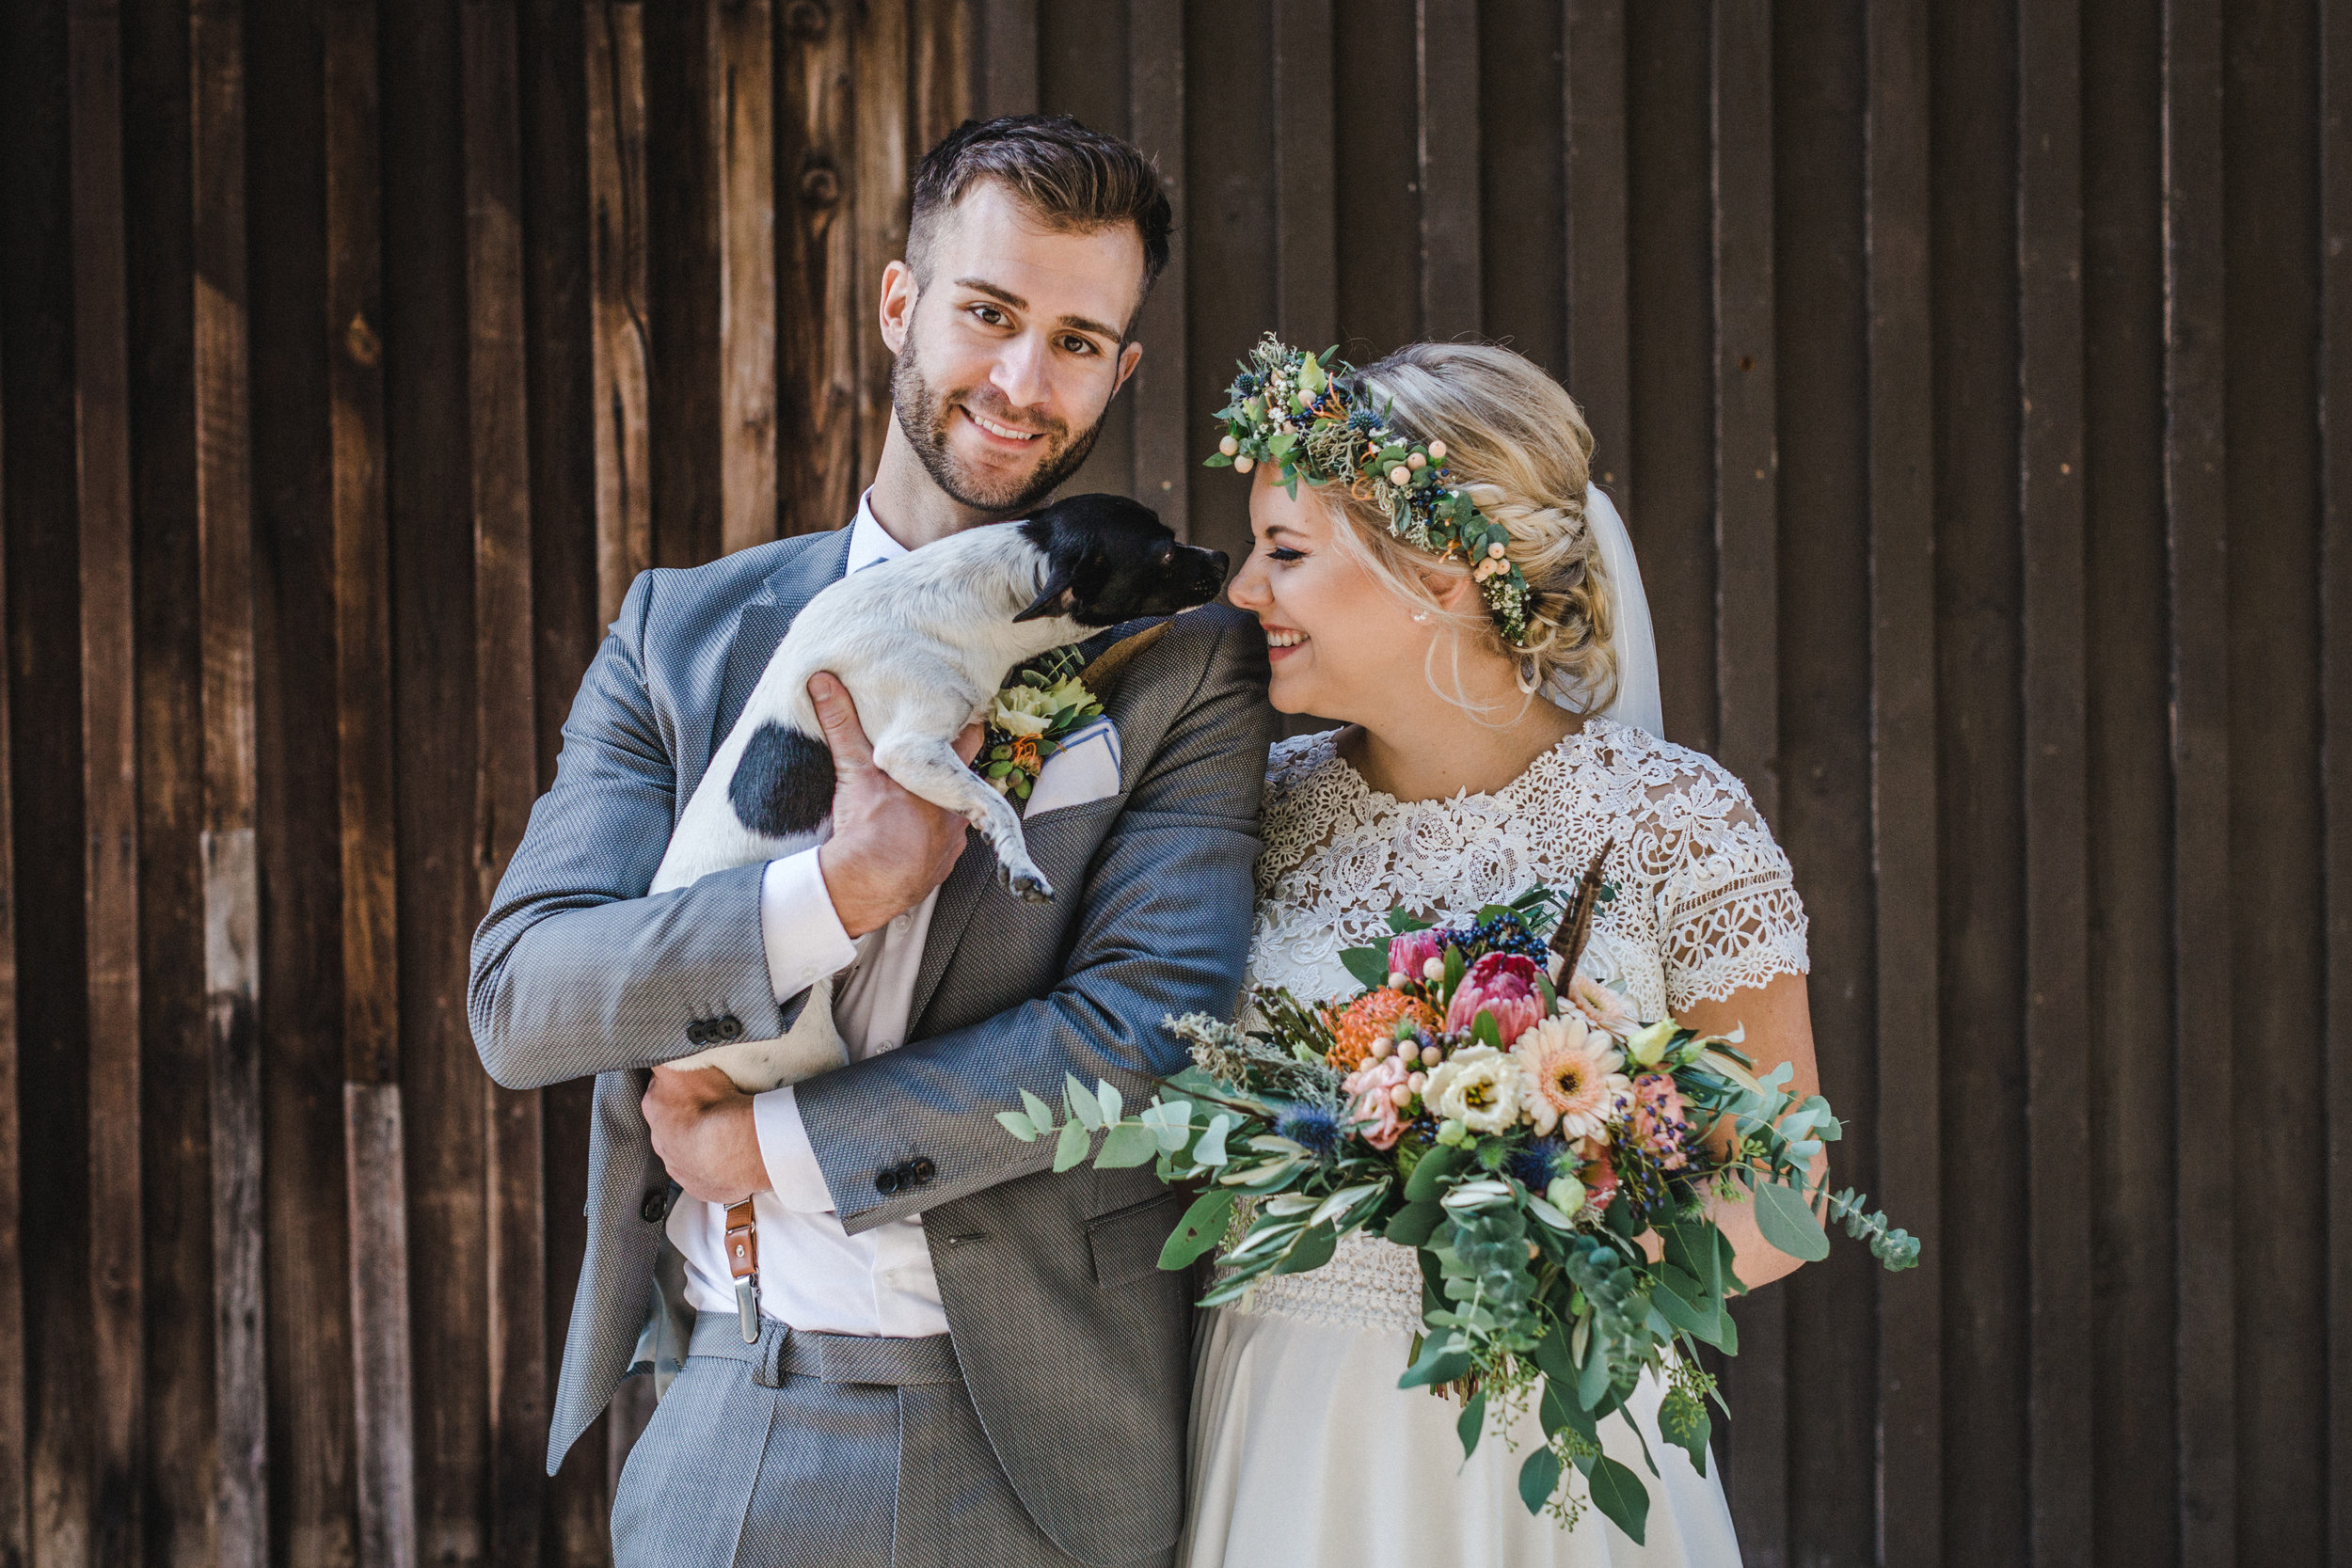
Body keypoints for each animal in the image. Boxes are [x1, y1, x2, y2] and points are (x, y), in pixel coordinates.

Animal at [649, 493, 1232, 1090]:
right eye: (1165, 554)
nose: (1225, 556)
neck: (983, 594)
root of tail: (673, 1059)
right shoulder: (909, 749)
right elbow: (998, 805)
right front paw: (1019, 864)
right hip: (810, 1047)